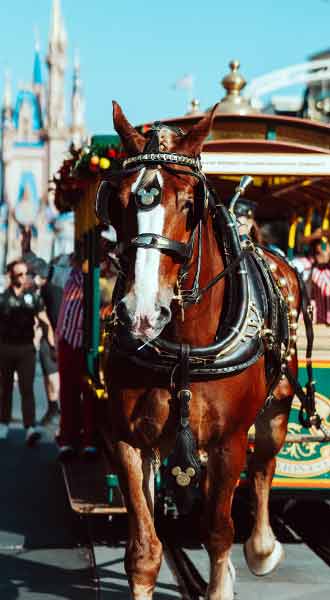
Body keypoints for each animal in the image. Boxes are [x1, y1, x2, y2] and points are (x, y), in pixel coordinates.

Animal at [102, 103, 306, 600]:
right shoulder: (128, 441)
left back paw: (262, 550)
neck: (183, 351)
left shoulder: (229, 442)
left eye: (189, 204)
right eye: (117, 200)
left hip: (276, 407)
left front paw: (226, 577)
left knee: (264, 466)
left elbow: (218, 530)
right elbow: (144, 550)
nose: (141, 312)